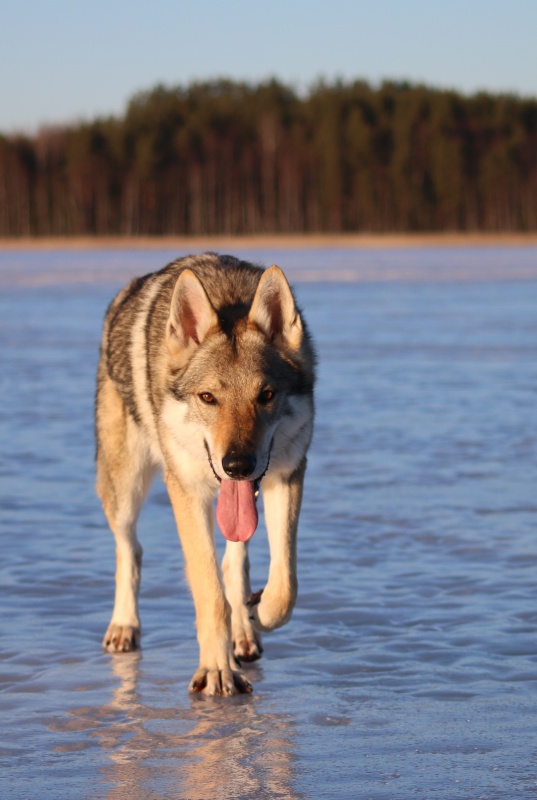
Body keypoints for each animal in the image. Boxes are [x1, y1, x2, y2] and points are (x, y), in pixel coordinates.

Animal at [96, 255, 314, 692]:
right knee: (130, 550)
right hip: (123, 490)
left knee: (234, 564)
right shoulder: (187, 493)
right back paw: (124, 627)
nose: (237, 465)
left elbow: (285, 587)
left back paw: (245, 631)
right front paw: (216, 671)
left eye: (266, 395)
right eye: (208, 397)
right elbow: (210, 594)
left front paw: (257, 613)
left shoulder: (287, 475)